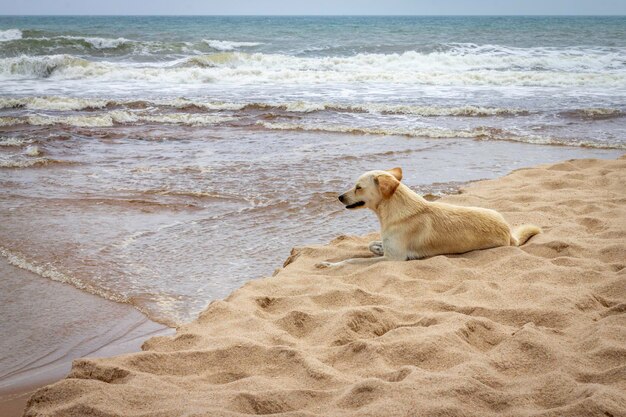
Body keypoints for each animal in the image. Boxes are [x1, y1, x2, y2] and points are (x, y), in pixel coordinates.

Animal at [314, 167, 540, 268]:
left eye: (358, 187)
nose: (339, 197)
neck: (390, 211)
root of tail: (509, 234)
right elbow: (371, 244)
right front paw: (376, 247)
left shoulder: (393, 259)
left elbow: (353, 261)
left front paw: (329, 265)